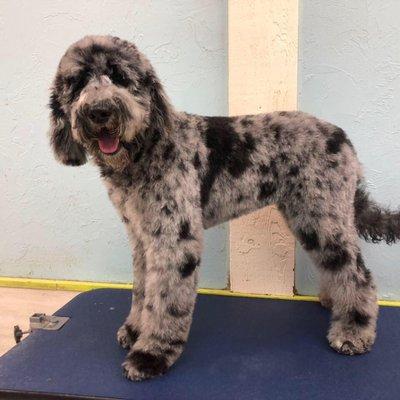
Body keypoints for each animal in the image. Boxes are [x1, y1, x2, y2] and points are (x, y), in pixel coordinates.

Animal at [47, 35, 400, 382]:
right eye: (78, 83)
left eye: (120, 76)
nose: (100, 111)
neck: (148, 148)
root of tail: (343, 139)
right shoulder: (142, 238)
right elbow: (142, 290)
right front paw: (135, 330)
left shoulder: (174, 240)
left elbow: (164, 300)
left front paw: (150, 354)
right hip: (309, 216)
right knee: (339, 269)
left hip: (322, 217)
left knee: (359, 275)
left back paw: (353, 331)